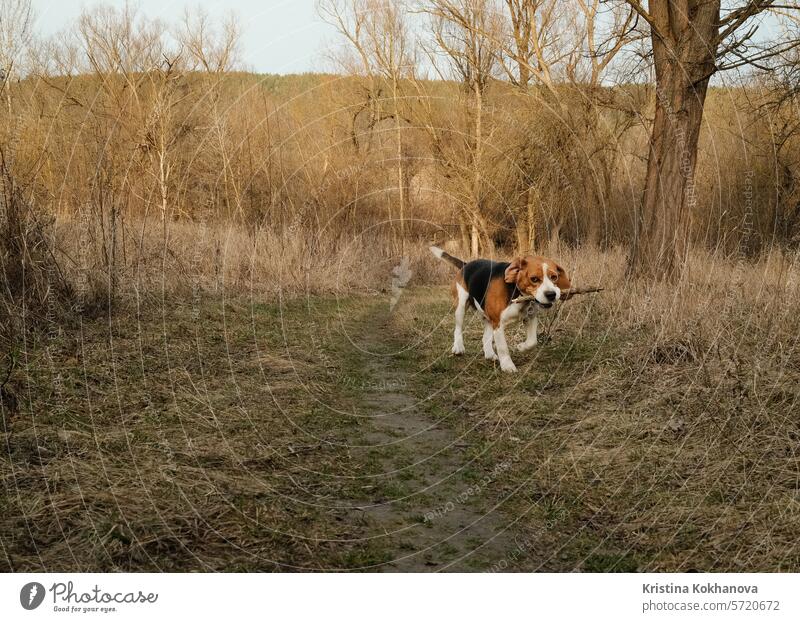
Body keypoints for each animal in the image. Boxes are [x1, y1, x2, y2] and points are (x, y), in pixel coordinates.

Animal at [432, 247, 568, 376]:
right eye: (534, 279)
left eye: (554, 277)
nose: (551, 294)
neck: (517, 292)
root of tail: (466, 264)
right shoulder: (498, 324)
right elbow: (503, 347)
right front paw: (508, 366)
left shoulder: (530, 318)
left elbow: (532, 342)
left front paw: (521, 347)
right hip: (461, 306)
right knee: (458, 328)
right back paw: (458, 347)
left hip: (487, 316)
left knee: (485, 336)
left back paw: (489, 354)